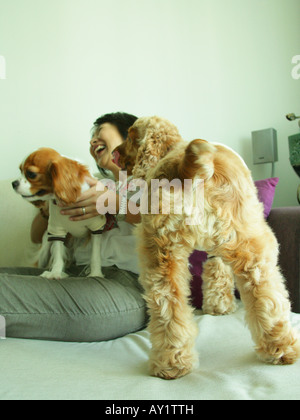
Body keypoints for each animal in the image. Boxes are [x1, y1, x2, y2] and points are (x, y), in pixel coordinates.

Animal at [12, 148, 106, 278]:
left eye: (31, 174)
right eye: (20, 170)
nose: (13, 183)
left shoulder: (96, 227)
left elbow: (95, 255)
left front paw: (96, 273)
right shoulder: (56, 229)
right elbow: (57, 253)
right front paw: (55, 273)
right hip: (45, 245)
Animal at [113, 115, 300, 380]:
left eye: (130, 136)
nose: (114, 153)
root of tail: (188, 167)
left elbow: (215, 270)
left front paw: (218, 306)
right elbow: (219, 271)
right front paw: (220, 306)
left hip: (162, 251)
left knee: (166, 302)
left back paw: (172, 363)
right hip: (249, 239)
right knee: (267, 294)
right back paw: (281, 349)